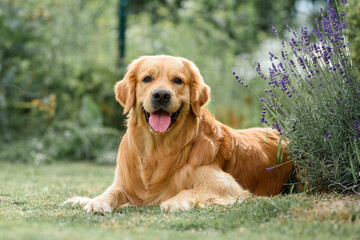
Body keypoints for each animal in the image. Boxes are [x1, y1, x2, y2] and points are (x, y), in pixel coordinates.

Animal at [65, 55, 292, 213]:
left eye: (178, 80)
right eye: (147, 78)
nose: (161, 95)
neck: (158, 149)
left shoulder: (227, 186)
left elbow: (188, 190)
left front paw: (174, 202)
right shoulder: (125, 181)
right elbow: (111, 191)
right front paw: (95, 202)